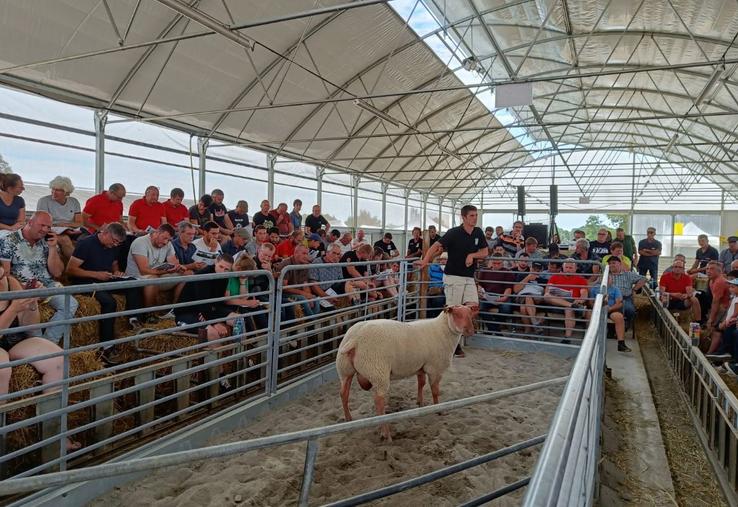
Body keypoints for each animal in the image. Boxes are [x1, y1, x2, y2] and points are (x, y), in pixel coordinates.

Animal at [334, 306, 474, 440]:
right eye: (457, 314)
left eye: (470, 314)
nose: (470, 330)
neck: (443, 331)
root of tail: (355, 339)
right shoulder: (435, 368)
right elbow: (435, 391)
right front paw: (439, 410)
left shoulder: (421, 366)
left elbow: (421, 384)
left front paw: (420, 403)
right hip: (378, 371)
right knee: (378, 401)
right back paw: (386, 433)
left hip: (345, 370)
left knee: (343, 394)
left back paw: (348, 420)